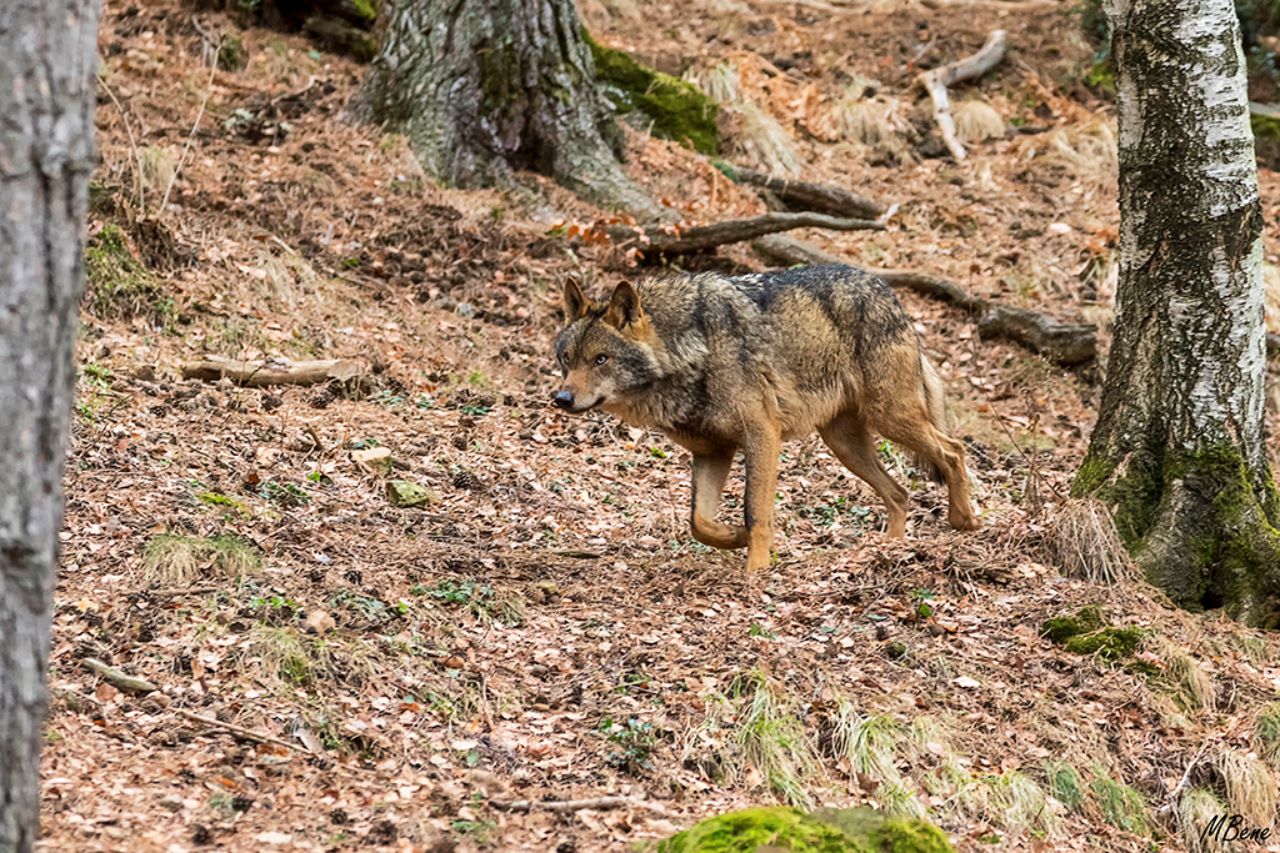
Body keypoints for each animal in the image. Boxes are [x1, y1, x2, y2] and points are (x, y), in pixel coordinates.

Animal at [552, 264, 979, 571]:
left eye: (601, 359)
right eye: (567, 359)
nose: (562, 398)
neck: (690, 348)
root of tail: (889, 293)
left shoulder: (761, 435)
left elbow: (755, 511)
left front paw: (755, 573)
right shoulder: (713, 452)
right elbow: (699, 522)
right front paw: (735, 537)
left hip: (890, 418)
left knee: (953, 450)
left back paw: (964, 521)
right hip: (845, 445)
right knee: (900, 492)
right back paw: (889, 549)